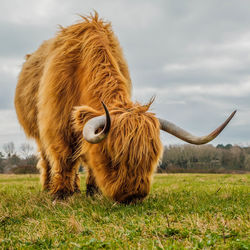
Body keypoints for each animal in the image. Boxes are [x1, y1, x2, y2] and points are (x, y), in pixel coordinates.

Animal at [14, 12, 235, 203]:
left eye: (152, 158)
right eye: (113, 157)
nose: (133, 195)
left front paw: (93, 192)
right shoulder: (56, 124)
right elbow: (64, 158)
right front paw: (61, 194)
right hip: (39, 134)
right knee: (47, 159)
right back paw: (49, 187)